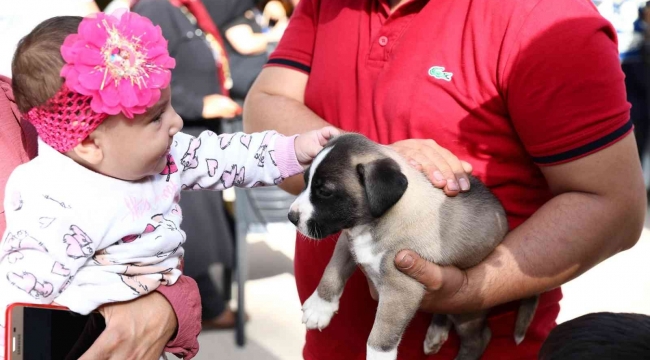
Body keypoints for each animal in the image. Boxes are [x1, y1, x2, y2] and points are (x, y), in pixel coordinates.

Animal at [288, 134, 536, 360]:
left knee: (479, 339)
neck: (375, 223)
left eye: (325, 191)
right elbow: (332, 270)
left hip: (469, 311)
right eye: (306, 181)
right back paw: (436, 333)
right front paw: (320, 307)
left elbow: (381, 335)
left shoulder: (401, 288)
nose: (291, 217)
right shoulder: (347, 241)